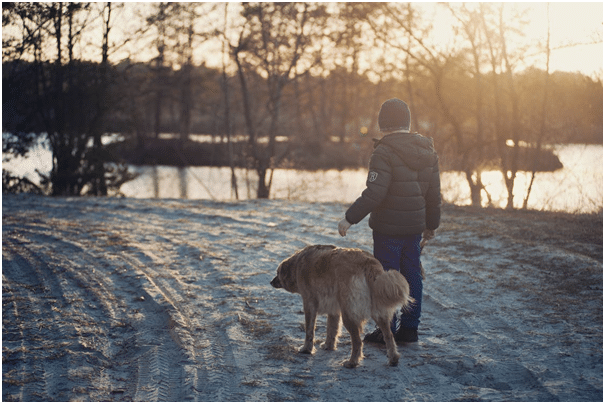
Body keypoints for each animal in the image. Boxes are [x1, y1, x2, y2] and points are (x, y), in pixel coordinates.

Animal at [272, 245, 412, 368]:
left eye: (277, 273)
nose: (271, 281)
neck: (298, 264)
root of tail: (368, 263)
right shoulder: (334, 310)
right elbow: (332, 329)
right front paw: (328, 346)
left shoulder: (309, 304)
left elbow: (309, 331)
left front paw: (306, 349)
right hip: (378, 313)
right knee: (389, 336)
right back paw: (393, 359)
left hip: (349, 315)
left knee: (358, 342)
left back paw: (352, 362)